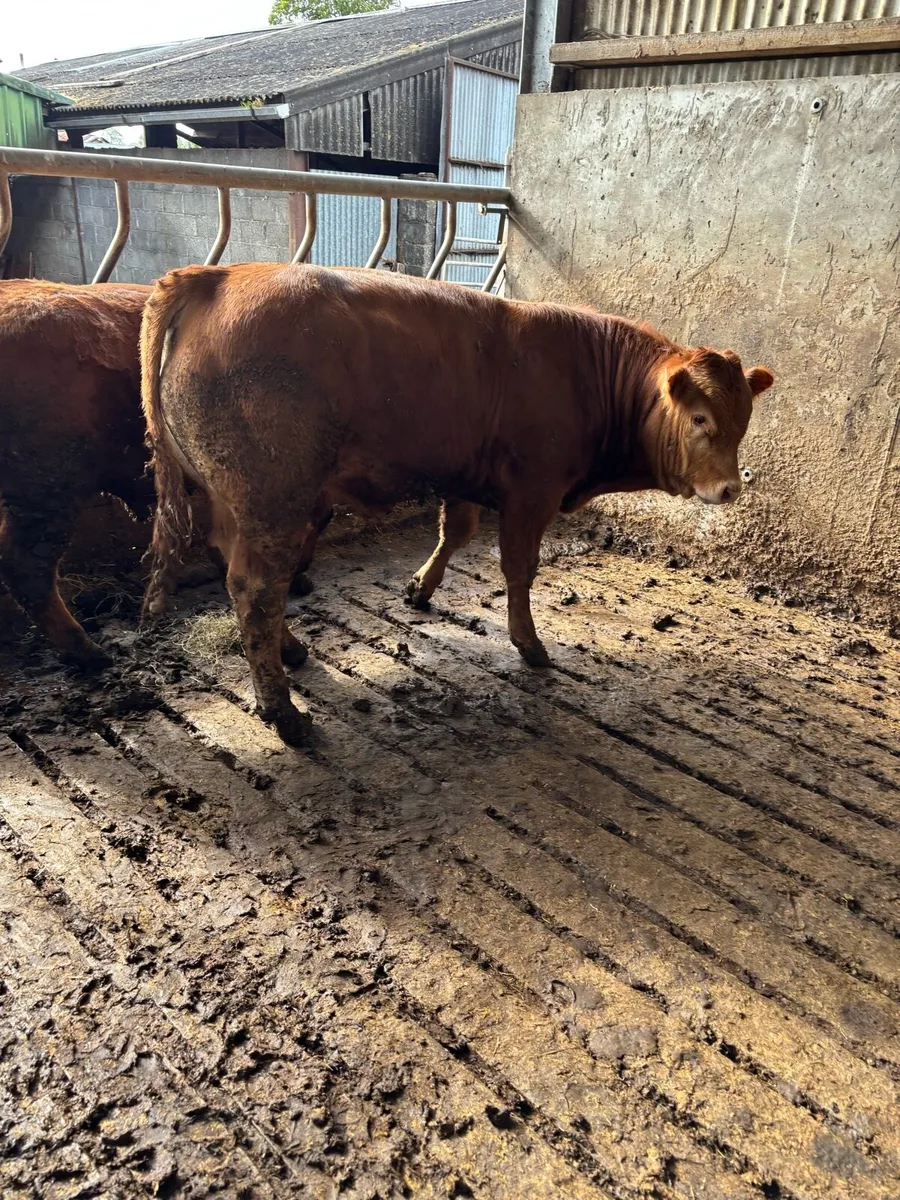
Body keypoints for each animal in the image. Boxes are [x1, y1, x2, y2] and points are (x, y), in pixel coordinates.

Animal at [140, 263, 773, 746]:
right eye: (700, 419)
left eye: (744, 418)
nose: (730, 489)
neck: (586, 372)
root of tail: (219, 275)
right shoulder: (531, 490)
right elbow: (518, 567)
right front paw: (529, 643)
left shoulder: (468, 477)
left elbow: (457, 531)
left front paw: (420, 588)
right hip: (274, 500)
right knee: (258, 590)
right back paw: (284, 712)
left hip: (233, 503)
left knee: (240, 575)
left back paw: (290, 653)